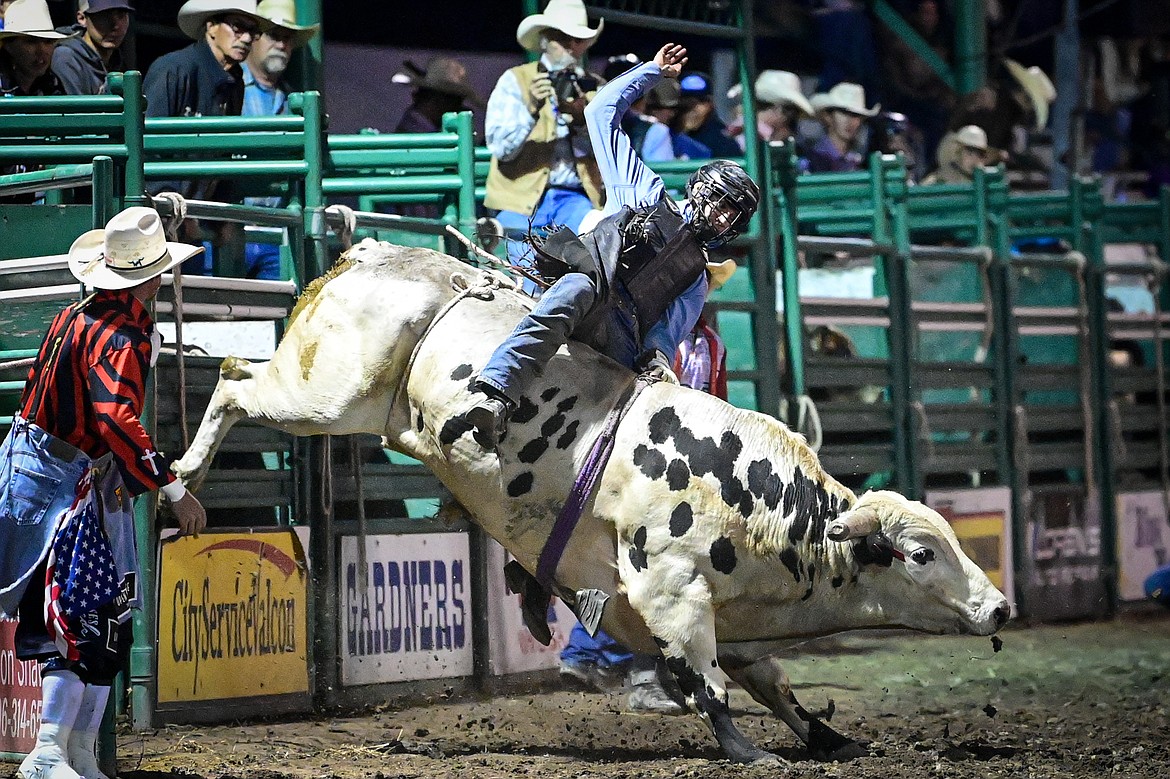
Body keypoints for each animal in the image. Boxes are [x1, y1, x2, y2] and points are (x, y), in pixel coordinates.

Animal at [175, 238, 1015, 762]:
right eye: (920, 552)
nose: (1000, 606)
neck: (762, 509)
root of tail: (370, 254)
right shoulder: (671, 592)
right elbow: (709, 685)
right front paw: (751, 752)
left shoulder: (733, 615)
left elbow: (772, 682)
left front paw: (828, 738)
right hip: (326, 395)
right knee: (233, 381)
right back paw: (181, 478)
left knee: (234, 375)